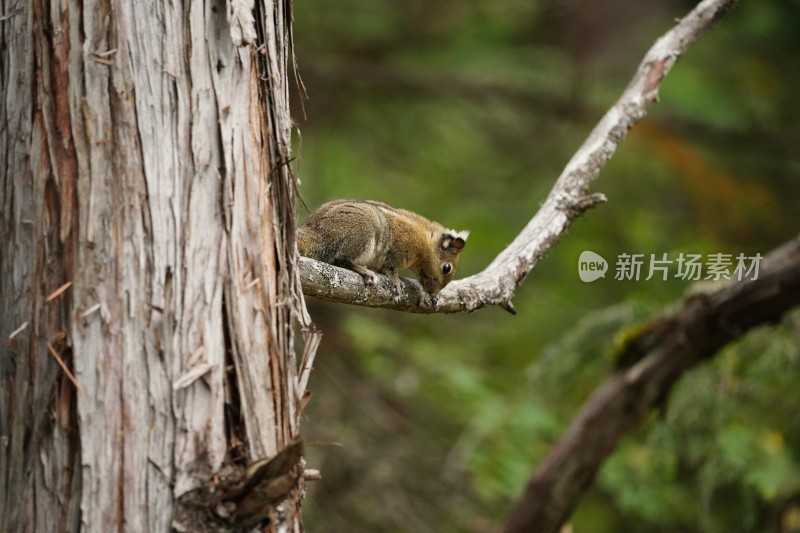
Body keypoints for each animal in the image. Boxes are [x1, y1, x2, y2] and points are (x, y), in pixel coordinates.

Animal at [296, 198, 466, 296]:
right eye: (446, 268)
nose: (434, 295)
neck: (425, 242)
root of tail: (315, 233)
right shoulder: (399, 250)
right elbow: (390, 268)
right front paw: (396, 280)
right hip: (360, 234)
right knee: (341, 259)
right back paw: (364, 270)